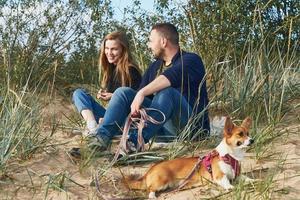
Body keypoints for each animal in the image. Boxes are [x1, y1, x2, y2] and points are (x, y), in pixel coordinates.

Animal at [123, 116, 254, 198]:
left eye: (248, 134)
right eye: (240, 134)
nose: (252, 140)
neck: (230, 156)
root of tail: (149, 171)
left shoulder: (238, 175)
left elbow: (246, 178)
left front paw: (253, 180)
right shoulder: (219, 176)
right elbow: (226, 181)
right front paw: (231, 187)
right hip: (161, 181)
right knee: (149, 189)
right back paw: (152, 196)